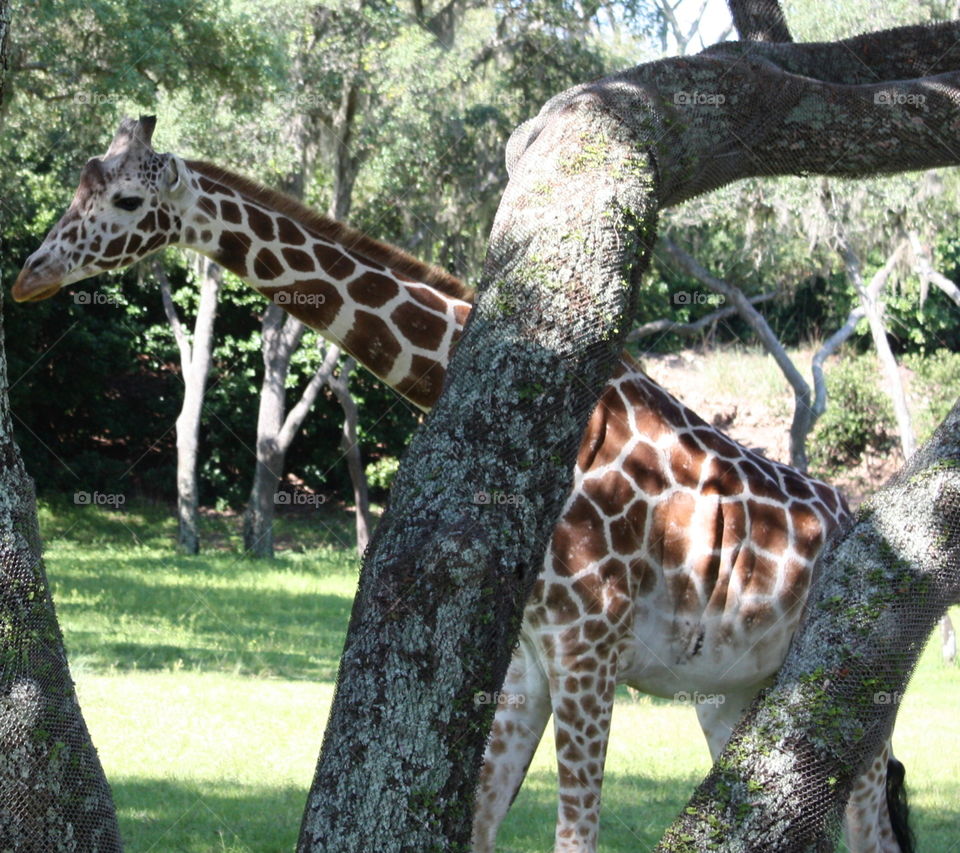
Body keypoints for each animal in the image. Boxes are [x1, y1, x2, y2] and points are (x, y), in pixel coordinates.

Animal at [13, 117, 912, 853]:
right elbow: (479, 820)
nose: (28, 274)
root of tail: (855, 511)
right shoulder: (533, 654)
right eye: (77, 186)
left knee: (868, 826)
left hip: (860, 687)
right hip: (734, 693)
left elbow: (574, 836)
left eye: (127, 198)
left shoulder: (591, 643)